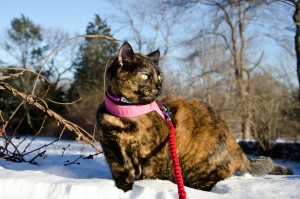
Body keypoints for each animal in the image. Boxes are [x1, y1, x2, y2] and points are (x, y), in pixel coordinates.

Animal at [96, 41, 292, 191]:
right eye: (145, 76)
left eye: (160, 77)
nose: (159, 87)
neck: (124, 114)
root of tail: (236, 145)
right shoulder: (113, 153)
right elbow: (122, 176)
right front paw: (124, 191)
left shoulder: (155, 158)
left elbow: (149, 176)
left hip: (197, 170)